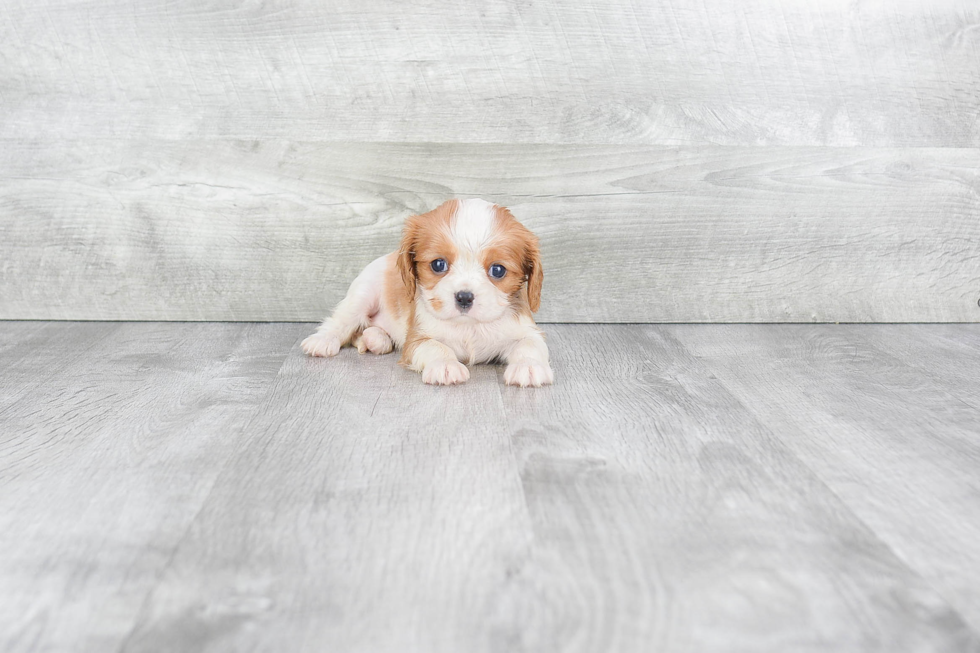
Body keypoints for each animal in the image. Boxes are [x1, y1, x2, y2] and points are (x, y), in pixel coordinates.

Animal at [302, 196, 552, 384]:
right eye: (438, 264)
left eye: (498, 270)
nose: (464, 297)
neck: (469, 326)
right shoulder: (418, 338)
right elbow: (435, 346)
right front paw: (446, 365)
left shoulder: (526, 331)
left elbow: (530, 345)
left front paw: (529, 367)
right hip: (363, 294)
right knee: (341, 321)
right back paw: (323, 340)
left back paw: (376, 339)